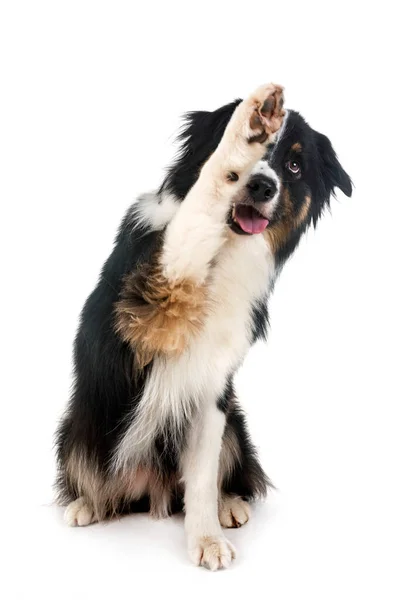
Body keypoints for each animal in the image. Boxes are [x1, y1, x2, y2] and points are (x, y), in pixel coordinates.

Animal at [55, 82, 352, 568]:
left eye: (294, 165)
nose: (262, 184)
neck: (224, 248)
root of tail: (148, 489)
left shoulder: (212, 387)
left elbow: (200, 475)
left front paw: (207, 537)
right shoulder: (156, 298)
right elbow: (200, 201)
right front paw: (248, 125)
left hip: (235, 423)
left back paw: (228, 503)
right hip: (82, 420)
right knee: (92, 476)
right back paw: (86, 504)